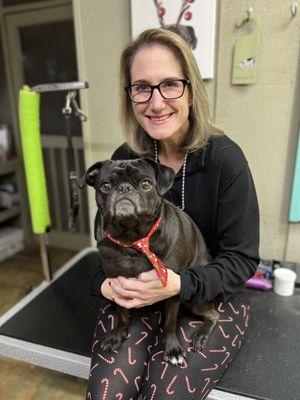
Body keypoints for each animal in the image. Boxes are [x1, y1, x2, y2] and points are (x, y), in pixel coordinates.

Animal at [82, 157, 218, 366]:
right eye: (105, 186)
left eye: (146, 184)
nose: (124, 188)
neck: (132, 240)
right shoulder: (116, 283)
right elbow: (122, 314)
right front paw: (117, 335)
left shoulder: (172, 291)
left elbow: (170, 323)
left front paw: (172, 349)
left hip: (195, 299)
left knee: (214, 315)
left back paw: (201, 334)